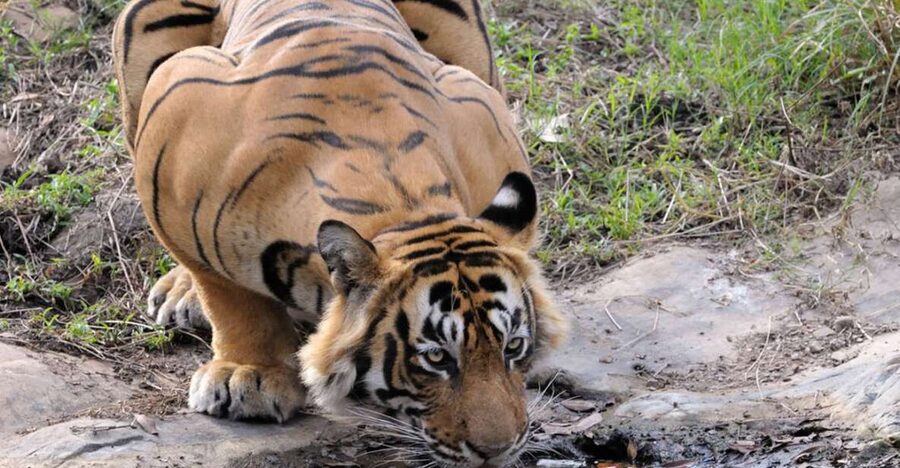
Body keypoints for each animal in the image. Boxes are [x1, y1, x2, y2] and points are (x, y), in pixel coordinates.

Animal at [112, 0, 568, 465]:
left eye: (513, 347)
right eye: (437, 357)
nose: (498, 450)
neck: (405, 206)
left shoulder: (480, 106)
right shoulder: (174, 107)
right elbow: (226, 293)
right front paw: (248, 374)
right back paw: (181, 294)